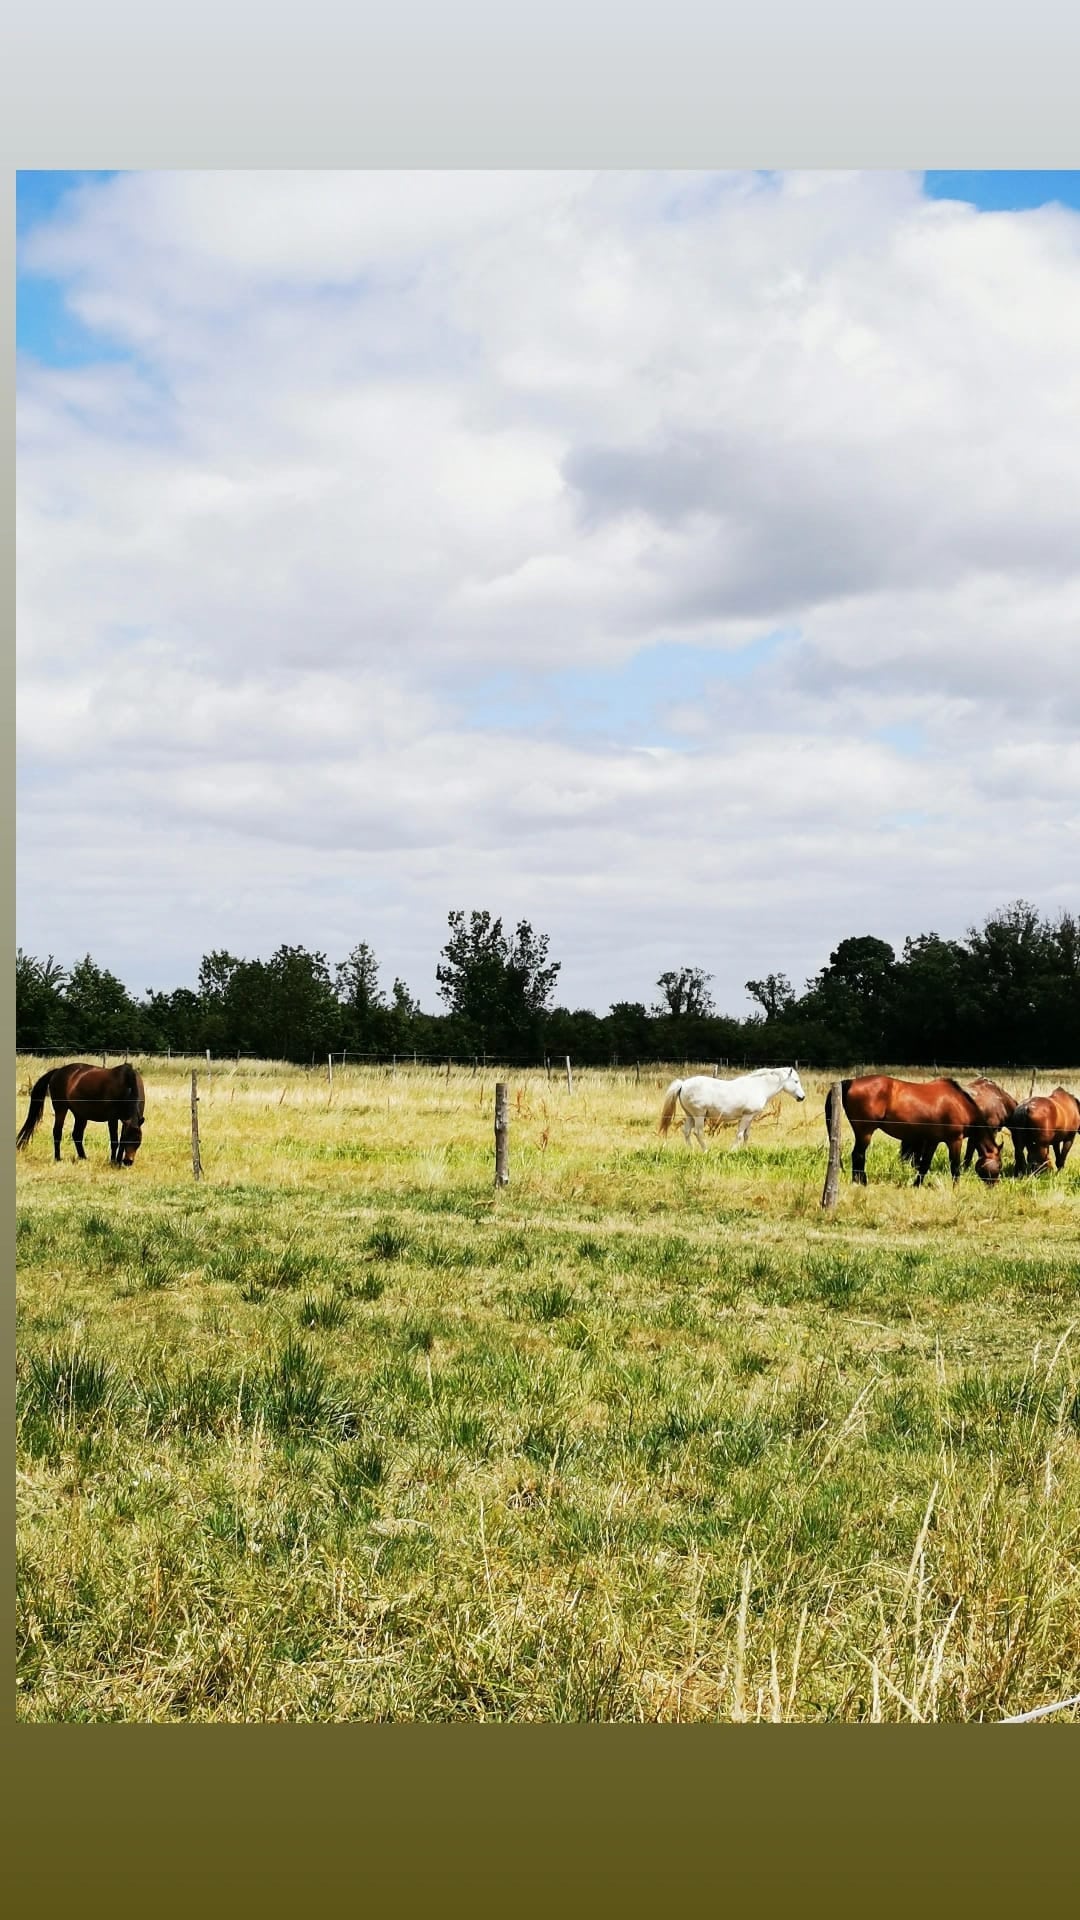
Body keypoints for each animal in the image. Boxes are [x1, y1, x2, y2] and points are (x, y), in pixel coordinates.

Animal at [15, 1059, 145, 1159]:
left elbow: (121, 1140)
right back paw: (58, 1158)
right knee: (57, 1131)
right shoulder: (112, 1119)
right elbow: (115, 1141)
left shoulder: (126, 1120)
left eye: (138, 1141)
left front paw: (118, 1162)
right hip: (61, 1109)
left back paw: (83, 1157)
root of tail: (57, 1071)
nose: (128, 1161)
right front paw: (113, 1161)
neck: (126, 1086)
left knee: (77, 1134)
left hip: (80, 1115)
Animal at [653, 1075, 803, 1144]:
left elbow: (746, 1135)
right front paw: (732, 1152)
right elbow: (740, 1135)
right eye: (796, 1081)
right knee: (698, 1133)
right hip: (699, 1116)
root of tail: (683, 1084)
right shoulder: (746, 1116)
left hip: (690, 1115)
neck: (759, 1086)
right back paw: (706, 1151)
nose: (802, 1097)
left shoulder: (750, 1117)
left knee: (686, 1132)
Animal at [822, 1082, 999, 1182]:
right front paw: (956, 1188)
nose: (993, 1185)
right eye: (999, 1164)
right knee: (858, 1155)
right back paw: (860, 1182)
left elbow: (924, 1165)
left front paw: (916, 1185)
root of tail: (849, 1082)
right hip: (865, 1132)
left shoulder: (933, 1140)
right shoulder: (955, 1140)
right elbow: (955, 1167)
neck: (960, 1105)